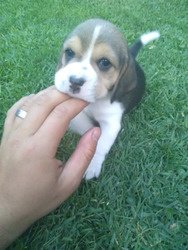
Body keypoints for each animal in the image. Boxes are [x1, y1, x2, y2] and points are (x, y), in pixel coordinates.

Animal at [54, 19, 159, 180]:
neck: (95, 102)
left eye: (105, 62)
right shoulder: (77, 113)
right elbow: (84, 126)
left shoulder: (111, 122)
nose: (75, 81)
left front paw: (92, 165)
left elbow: (101, 143)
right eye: (69, 52)